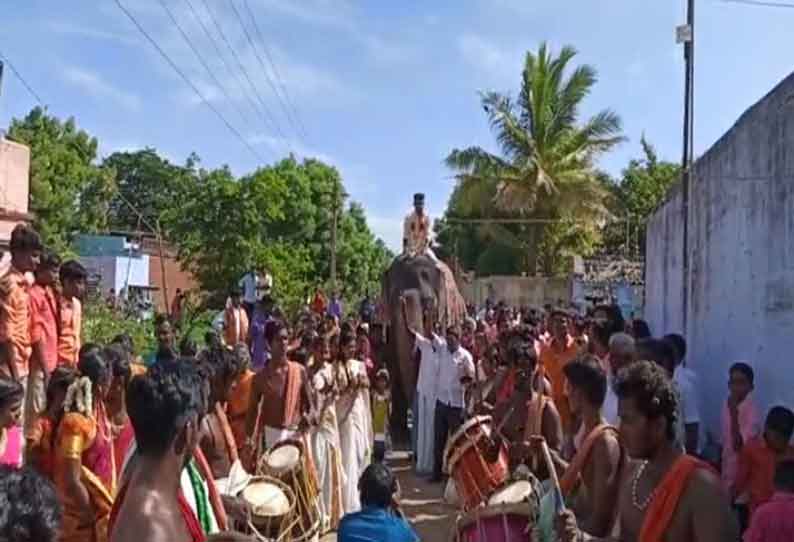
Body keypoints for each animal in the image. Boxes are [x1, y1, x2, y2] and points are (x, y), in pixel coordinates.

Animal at [380, 255, 468, 446]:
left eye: (429, 304)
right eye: (392, 301)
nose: (403, 299)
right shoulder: (389, 328)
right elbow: (394, 366)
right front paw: (400, 438)